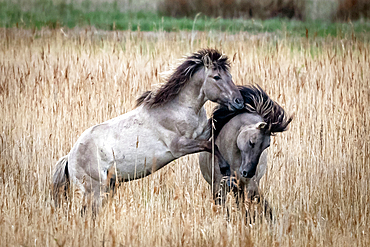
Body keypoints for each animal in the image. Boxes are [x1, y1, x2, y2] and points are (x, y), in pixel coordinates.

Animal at [52, 47, 243, 210]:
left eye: (230, 75)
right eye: (216, 77)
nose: (238, 101)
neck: (178, 109)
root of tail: (69, 158)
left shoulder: (202, 132)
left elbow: (212, 136)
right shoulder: (179, 146)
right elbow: (209, 145)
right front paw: (226, 170)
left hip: (109, 186)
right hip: (94, 189)